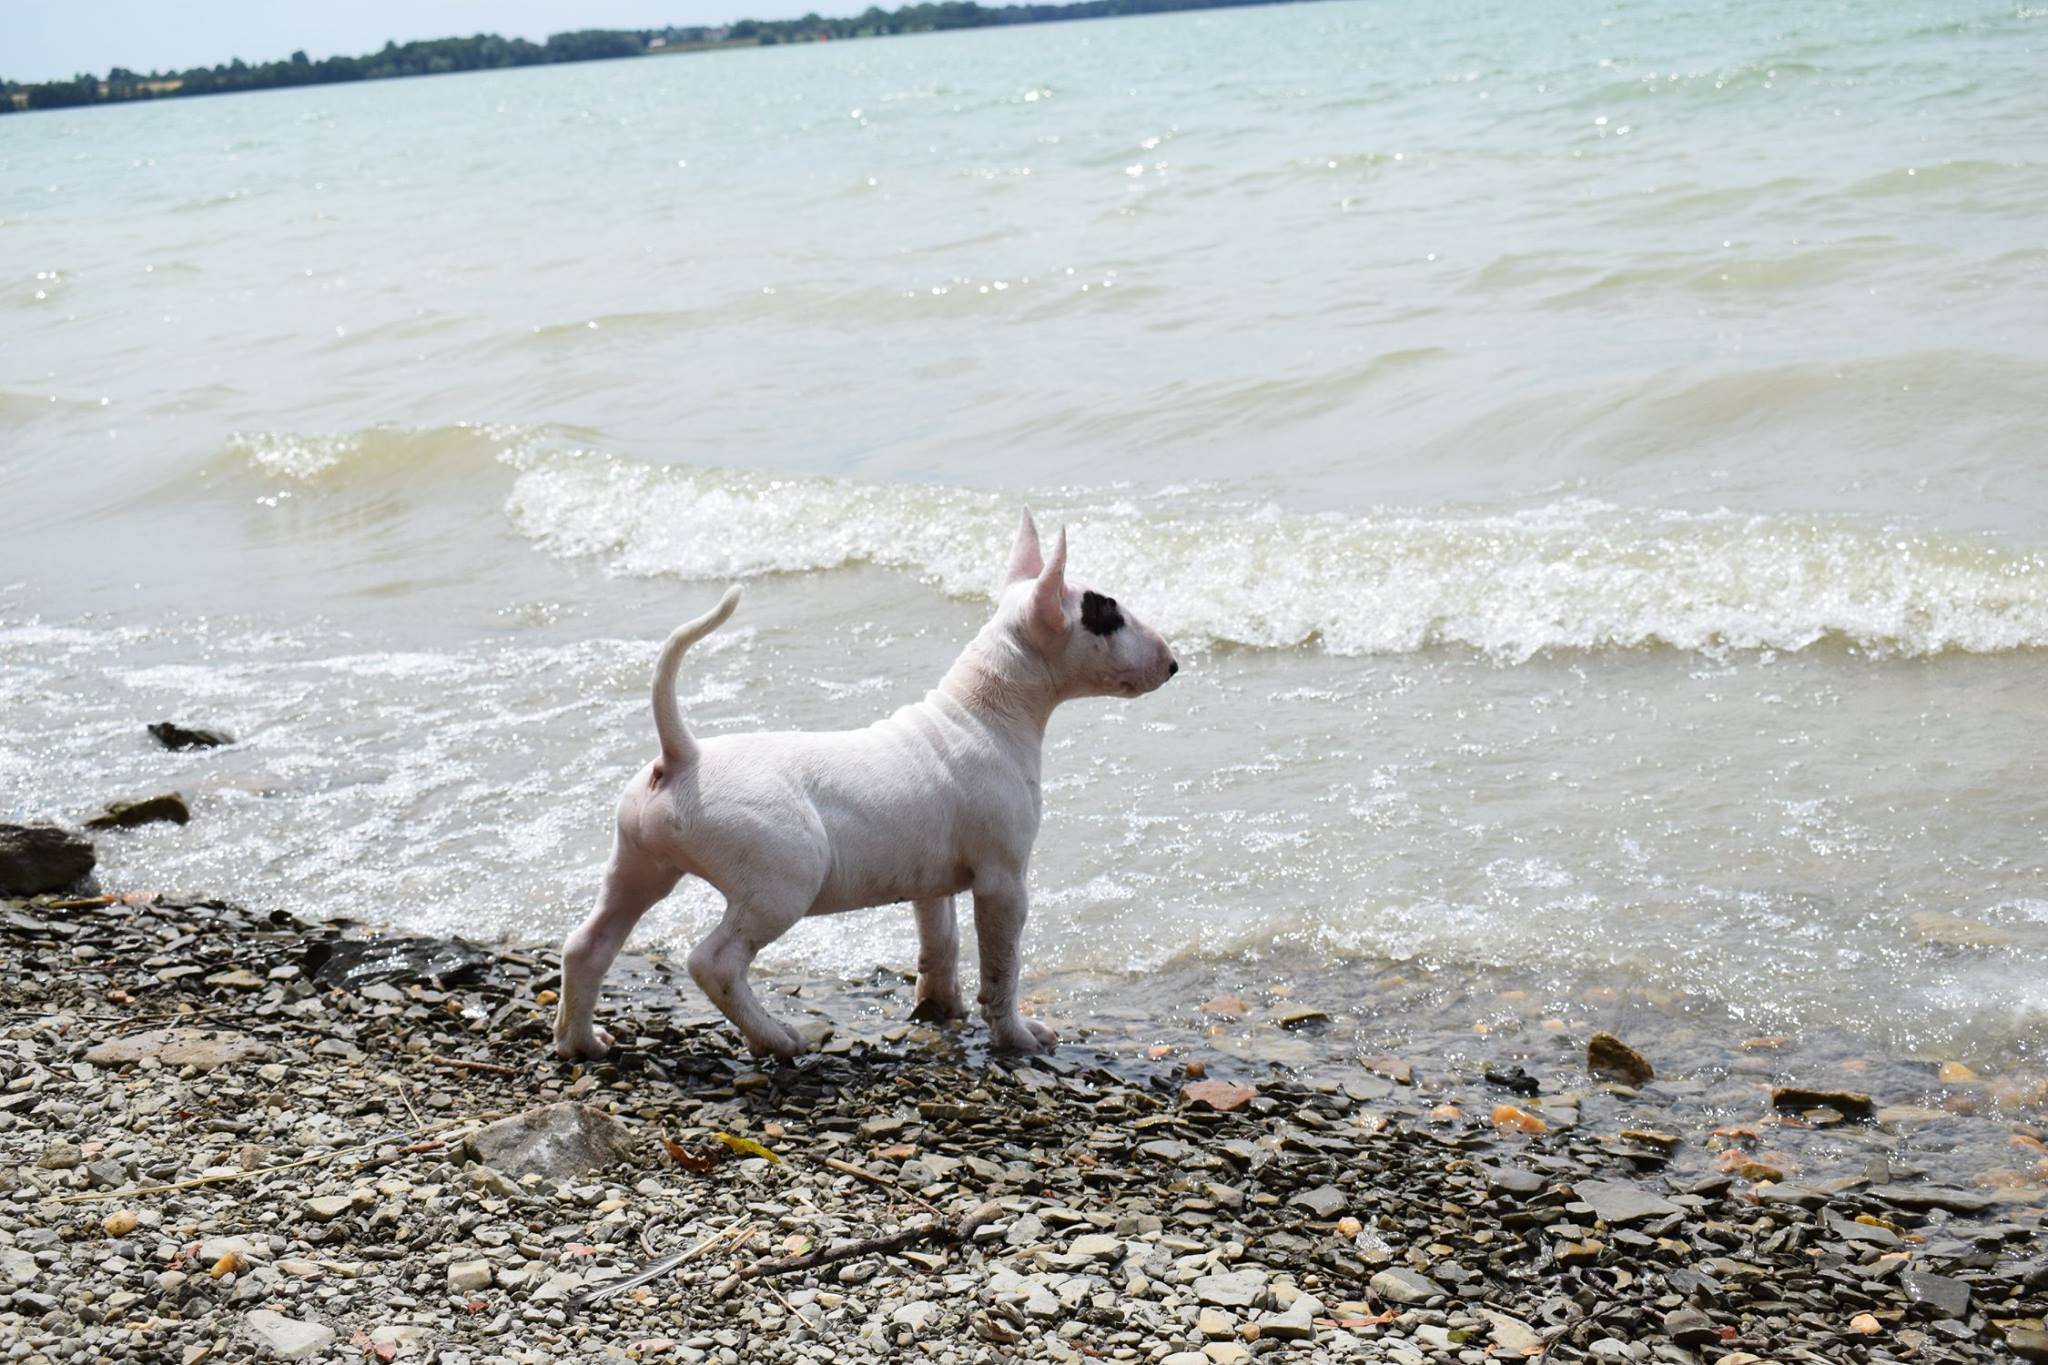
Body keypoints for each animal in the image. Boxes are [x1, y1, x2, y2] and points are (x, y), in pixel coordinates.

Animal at [553, 510, 1179, 1061]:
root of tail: (684, 757)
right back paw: (776, 1040)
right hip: (780, 881)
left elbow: (941, 943)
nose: (1173, 664)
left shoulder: (933, 878)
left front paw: (940, 1009)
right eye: (1109, 615)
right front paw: (1017, 1037)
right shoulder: (1002, 880)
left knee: (588, 944)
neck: (985, 711)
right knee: (715, 962)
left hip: (639, 864)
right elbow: (1002, 965)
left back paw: (582, 1042)